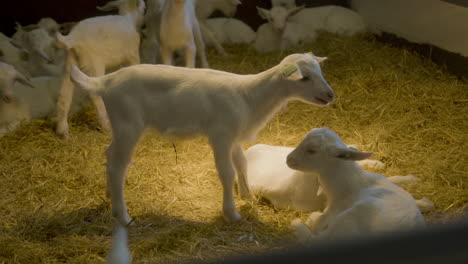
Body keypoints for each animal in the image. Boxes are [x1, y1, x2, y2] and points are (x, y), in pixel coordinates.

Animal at [53, 0, 144, 140]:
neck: (129, 18)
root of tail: (73, 38)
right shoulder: (133, 55)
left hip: (70, 63)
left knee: (64, 95)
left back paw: (63, 133)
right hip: (95, 63)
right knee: (94, 94)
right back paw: (106, 126)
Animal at [67, 53, 334, 225]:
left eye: (320, 71)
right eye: (304, 78)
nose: (330, 95)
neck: (251, 97)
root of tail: (105, 81)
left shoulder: (234, 136)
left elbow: (242, 164)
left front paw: (247, 197)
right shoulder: (220, 134)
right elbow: (227, 173)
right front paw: (231, 214)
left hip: (122, 126)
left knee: (109, 154)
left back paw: (109, 196)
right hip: (128, 124)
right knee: (117, 166)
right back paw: (123, 217)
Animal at [288, 128, 426, 241]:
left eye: (311, 150)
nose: (288, 159)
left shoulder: (335, 210)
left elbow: (318, 223)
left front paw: (312, 218)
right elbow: (393, 179)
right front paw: (412, 180)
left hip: (349, 220)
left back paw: (297, 224)